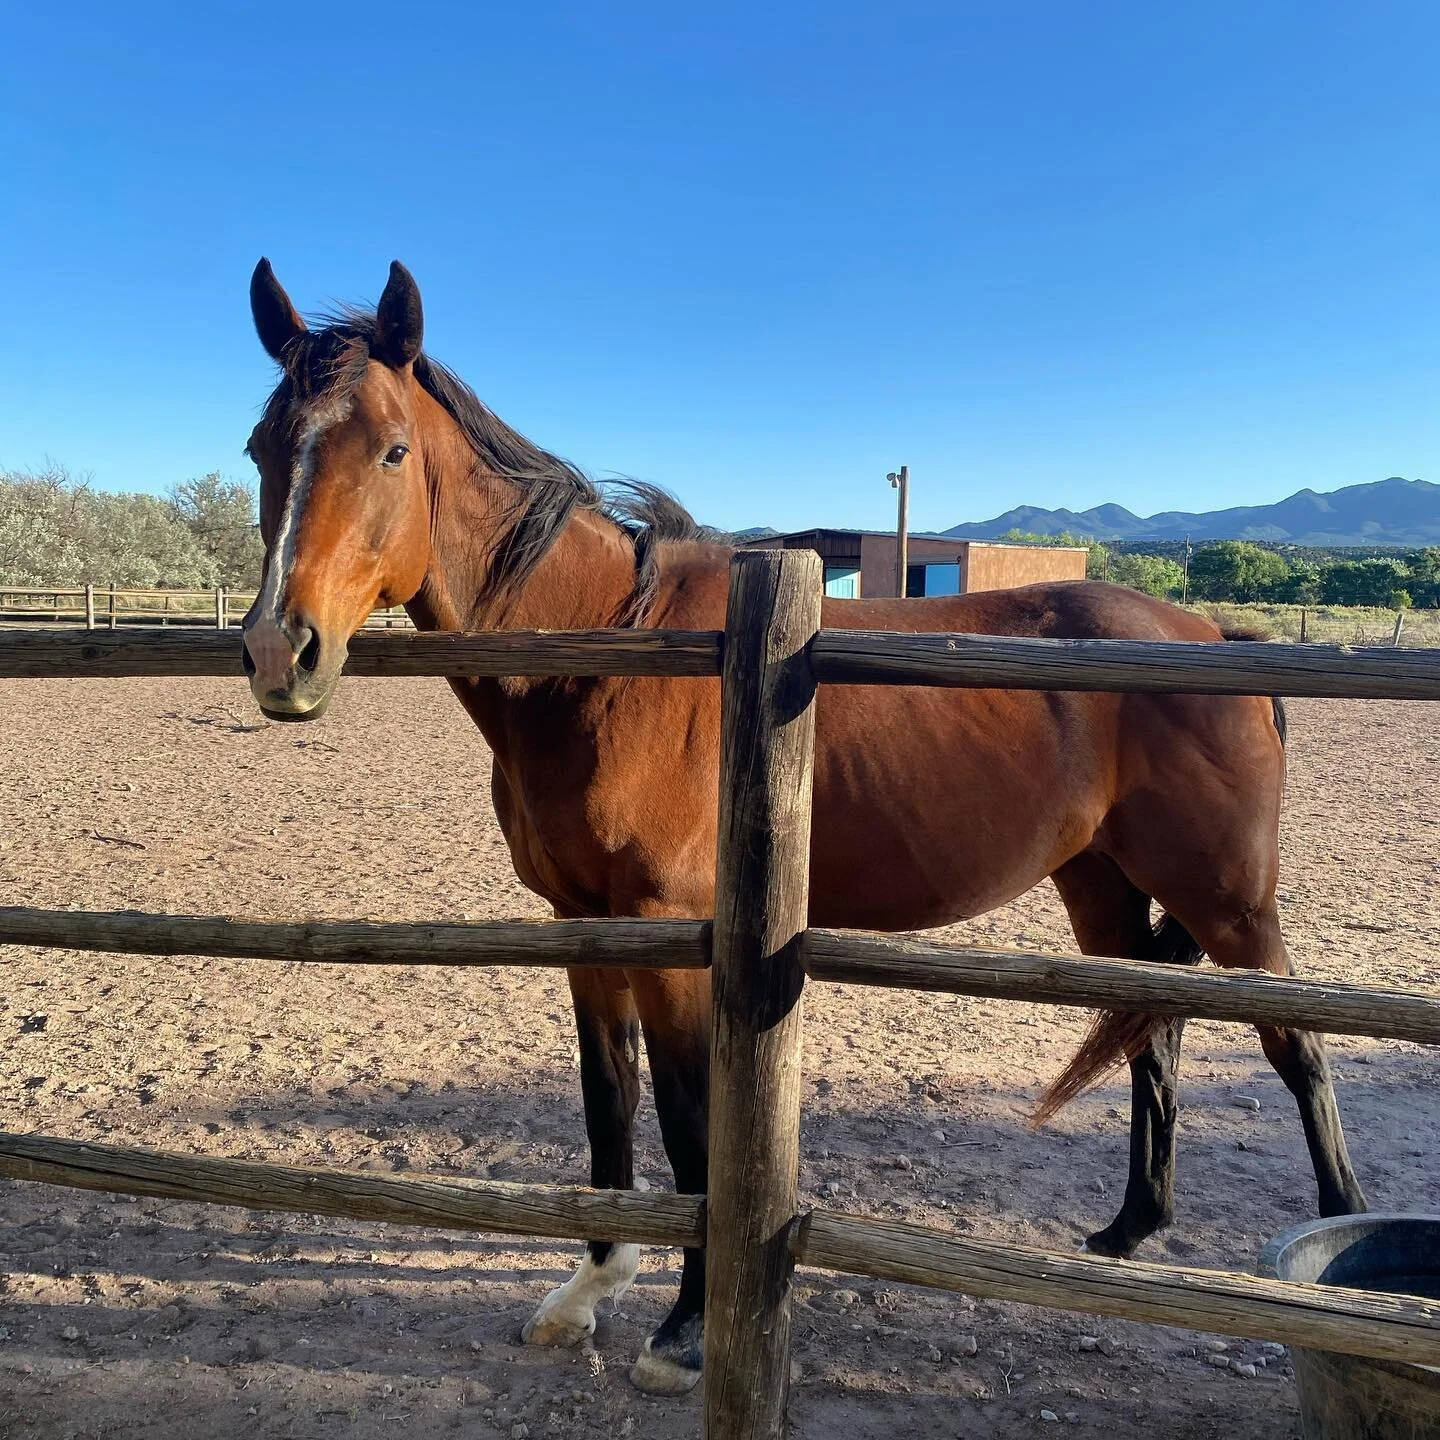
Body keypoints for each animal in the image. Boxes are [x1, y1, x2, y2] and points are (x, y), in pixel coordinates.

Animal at [238, 258, 1366, 1396]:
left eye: (391, 449)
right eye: (261, 448)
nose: (280, 651)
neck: (604, 662)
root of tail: (1212, 633)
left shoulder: (674, 936)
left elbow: (690, 1122)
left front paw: (685, 1332)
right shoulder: (582, 923)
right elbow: (610, 1100)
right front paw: (589, 1290)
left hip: (1229, 897)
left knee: (1298, 1048)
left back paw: (1348, 1272)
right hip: (1104, 883)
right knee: (1153, 1030)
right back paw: (1131, 1228)